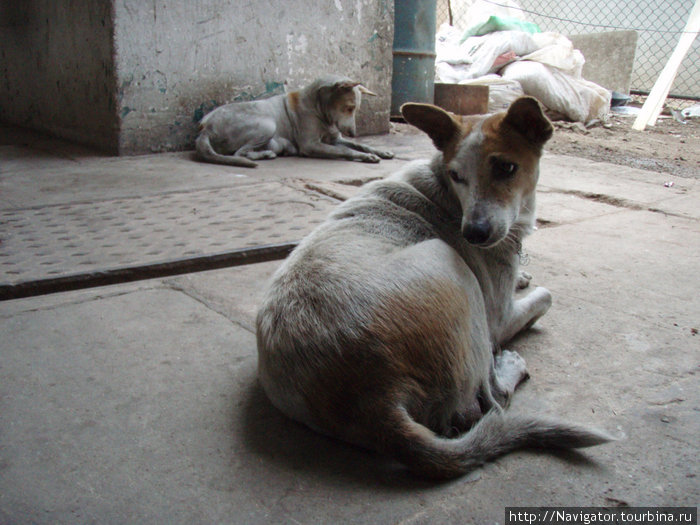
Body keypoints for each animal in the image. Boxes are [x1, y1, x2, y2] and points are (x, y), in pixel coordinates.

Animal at [196, 74, 394, 166]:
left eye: (355, 109)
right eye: (349, 108)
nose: (353, 132)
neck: (319, 109)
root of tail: (206, 127)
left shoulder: (334, 138)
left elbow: (361, 145)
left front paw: (379, 151)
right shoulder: (311, 145)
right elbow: (346, 150)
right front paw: (366, 156)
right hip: (267, 125)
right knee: (239, 153)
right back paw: (264, 154)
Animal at [256, 96, 612, 476]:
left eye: (506, 168)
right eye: (457, 176)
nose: (473, 234)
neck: (447, 191)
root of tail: (375, 405)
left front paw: (523, 276)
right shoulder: (500, 316)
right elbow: (546, 296)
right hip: (451, 264)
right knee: (490, 404)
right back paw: (508, 370)